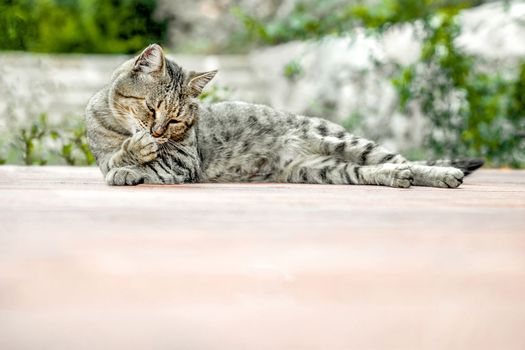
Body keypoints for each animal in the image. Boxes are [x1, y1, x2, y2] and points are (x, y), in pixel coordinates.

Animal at [84, 44, 482, 187]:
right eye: (151, 108)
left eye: (177, 121)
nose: (158, 132)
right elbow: (114, 159)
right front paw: (130, 159)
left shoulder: (184, 161)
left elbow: (144, 160)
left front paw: (134, 158)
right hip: (321, 170)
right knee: (376, 171)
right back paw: (397, 178)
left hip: (344, 142)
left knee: (405, 160)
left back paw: (443, 175)